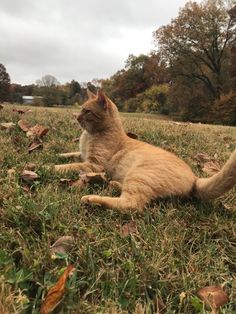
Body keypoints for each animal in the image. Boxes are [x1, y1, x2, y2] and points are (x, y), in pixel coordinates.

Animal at [55, 89, 236, 215]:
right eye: (81, 110)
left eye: (87, 111)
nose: (77, 117)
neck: (90, 134)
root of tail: (194, 178)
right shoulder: (83, 156)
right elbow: (71, 155)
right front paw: (58, 155)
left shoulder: (94, 164)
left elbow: (70, 166)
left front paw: (52, 166)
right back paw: (113, 184)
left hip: (139, 175)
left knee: (131, 205)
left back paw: (92, 200)